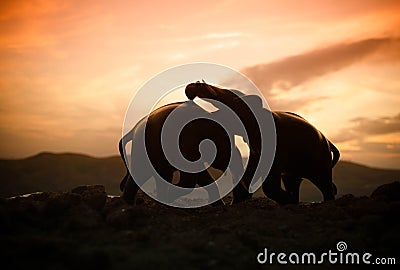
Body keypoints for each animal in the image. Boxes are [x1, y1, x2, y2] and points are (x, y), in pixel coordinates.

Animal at [185, 81, 340, 205]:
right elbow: (252, 170)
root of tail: (327, 141)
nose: (195, 85)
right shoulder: (255, 148)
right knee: (294, 182)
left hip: (320, 160)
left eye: (231, 96)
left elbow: (269, 184)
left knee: (325, 184)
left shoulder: (275, 148)